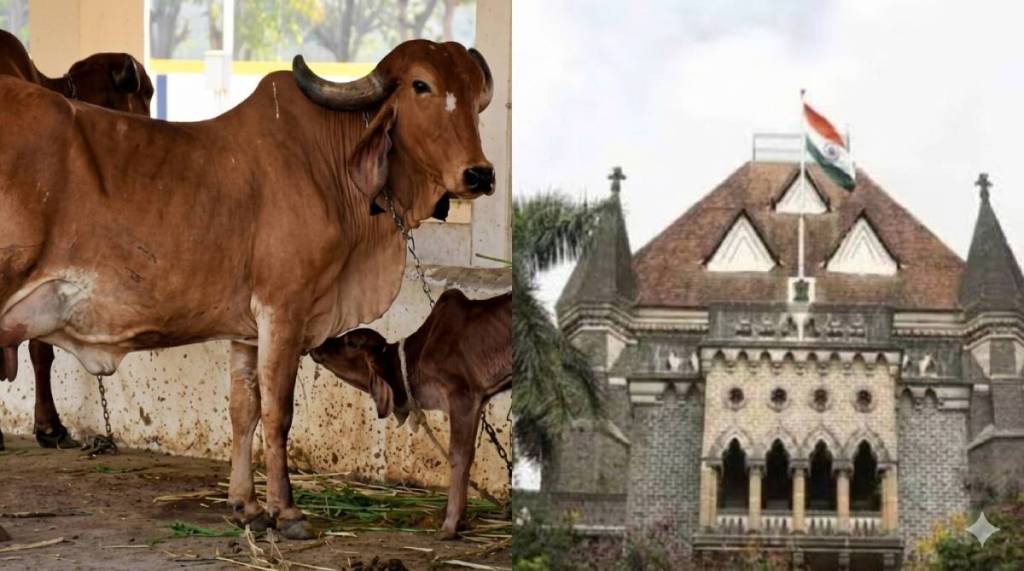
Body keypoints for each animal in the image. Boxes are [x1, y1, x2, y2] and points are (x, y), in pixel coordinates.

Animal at [309, 289, 512, 539]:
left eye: (350, 342)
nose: (318, 343)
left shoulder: (462, 395)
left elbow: (459, 455)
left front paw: (450, 525)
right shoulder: (479, 400)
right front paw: (462, 520)